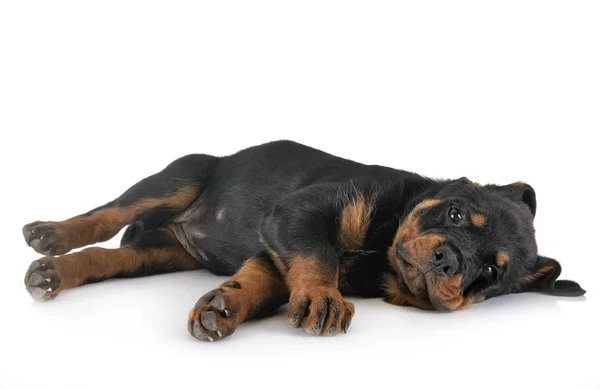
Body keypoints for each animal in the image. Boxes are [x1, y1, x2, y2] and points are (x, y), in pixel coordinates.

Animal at [21, 140, 584, 340]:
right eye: (455, 212)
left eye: (489, 273)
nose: (449, 261)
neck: (383, 251)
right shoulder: (299, 216)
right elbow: (317, 258)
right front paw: (322, 297)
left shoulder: (275, 250)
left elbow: (258, 281)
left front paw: (225, 307)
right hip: (180, 177)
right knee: (104, 216)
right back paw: (49, 234)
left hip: (159, 254)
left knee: (105, 258)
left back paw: (55, 274)